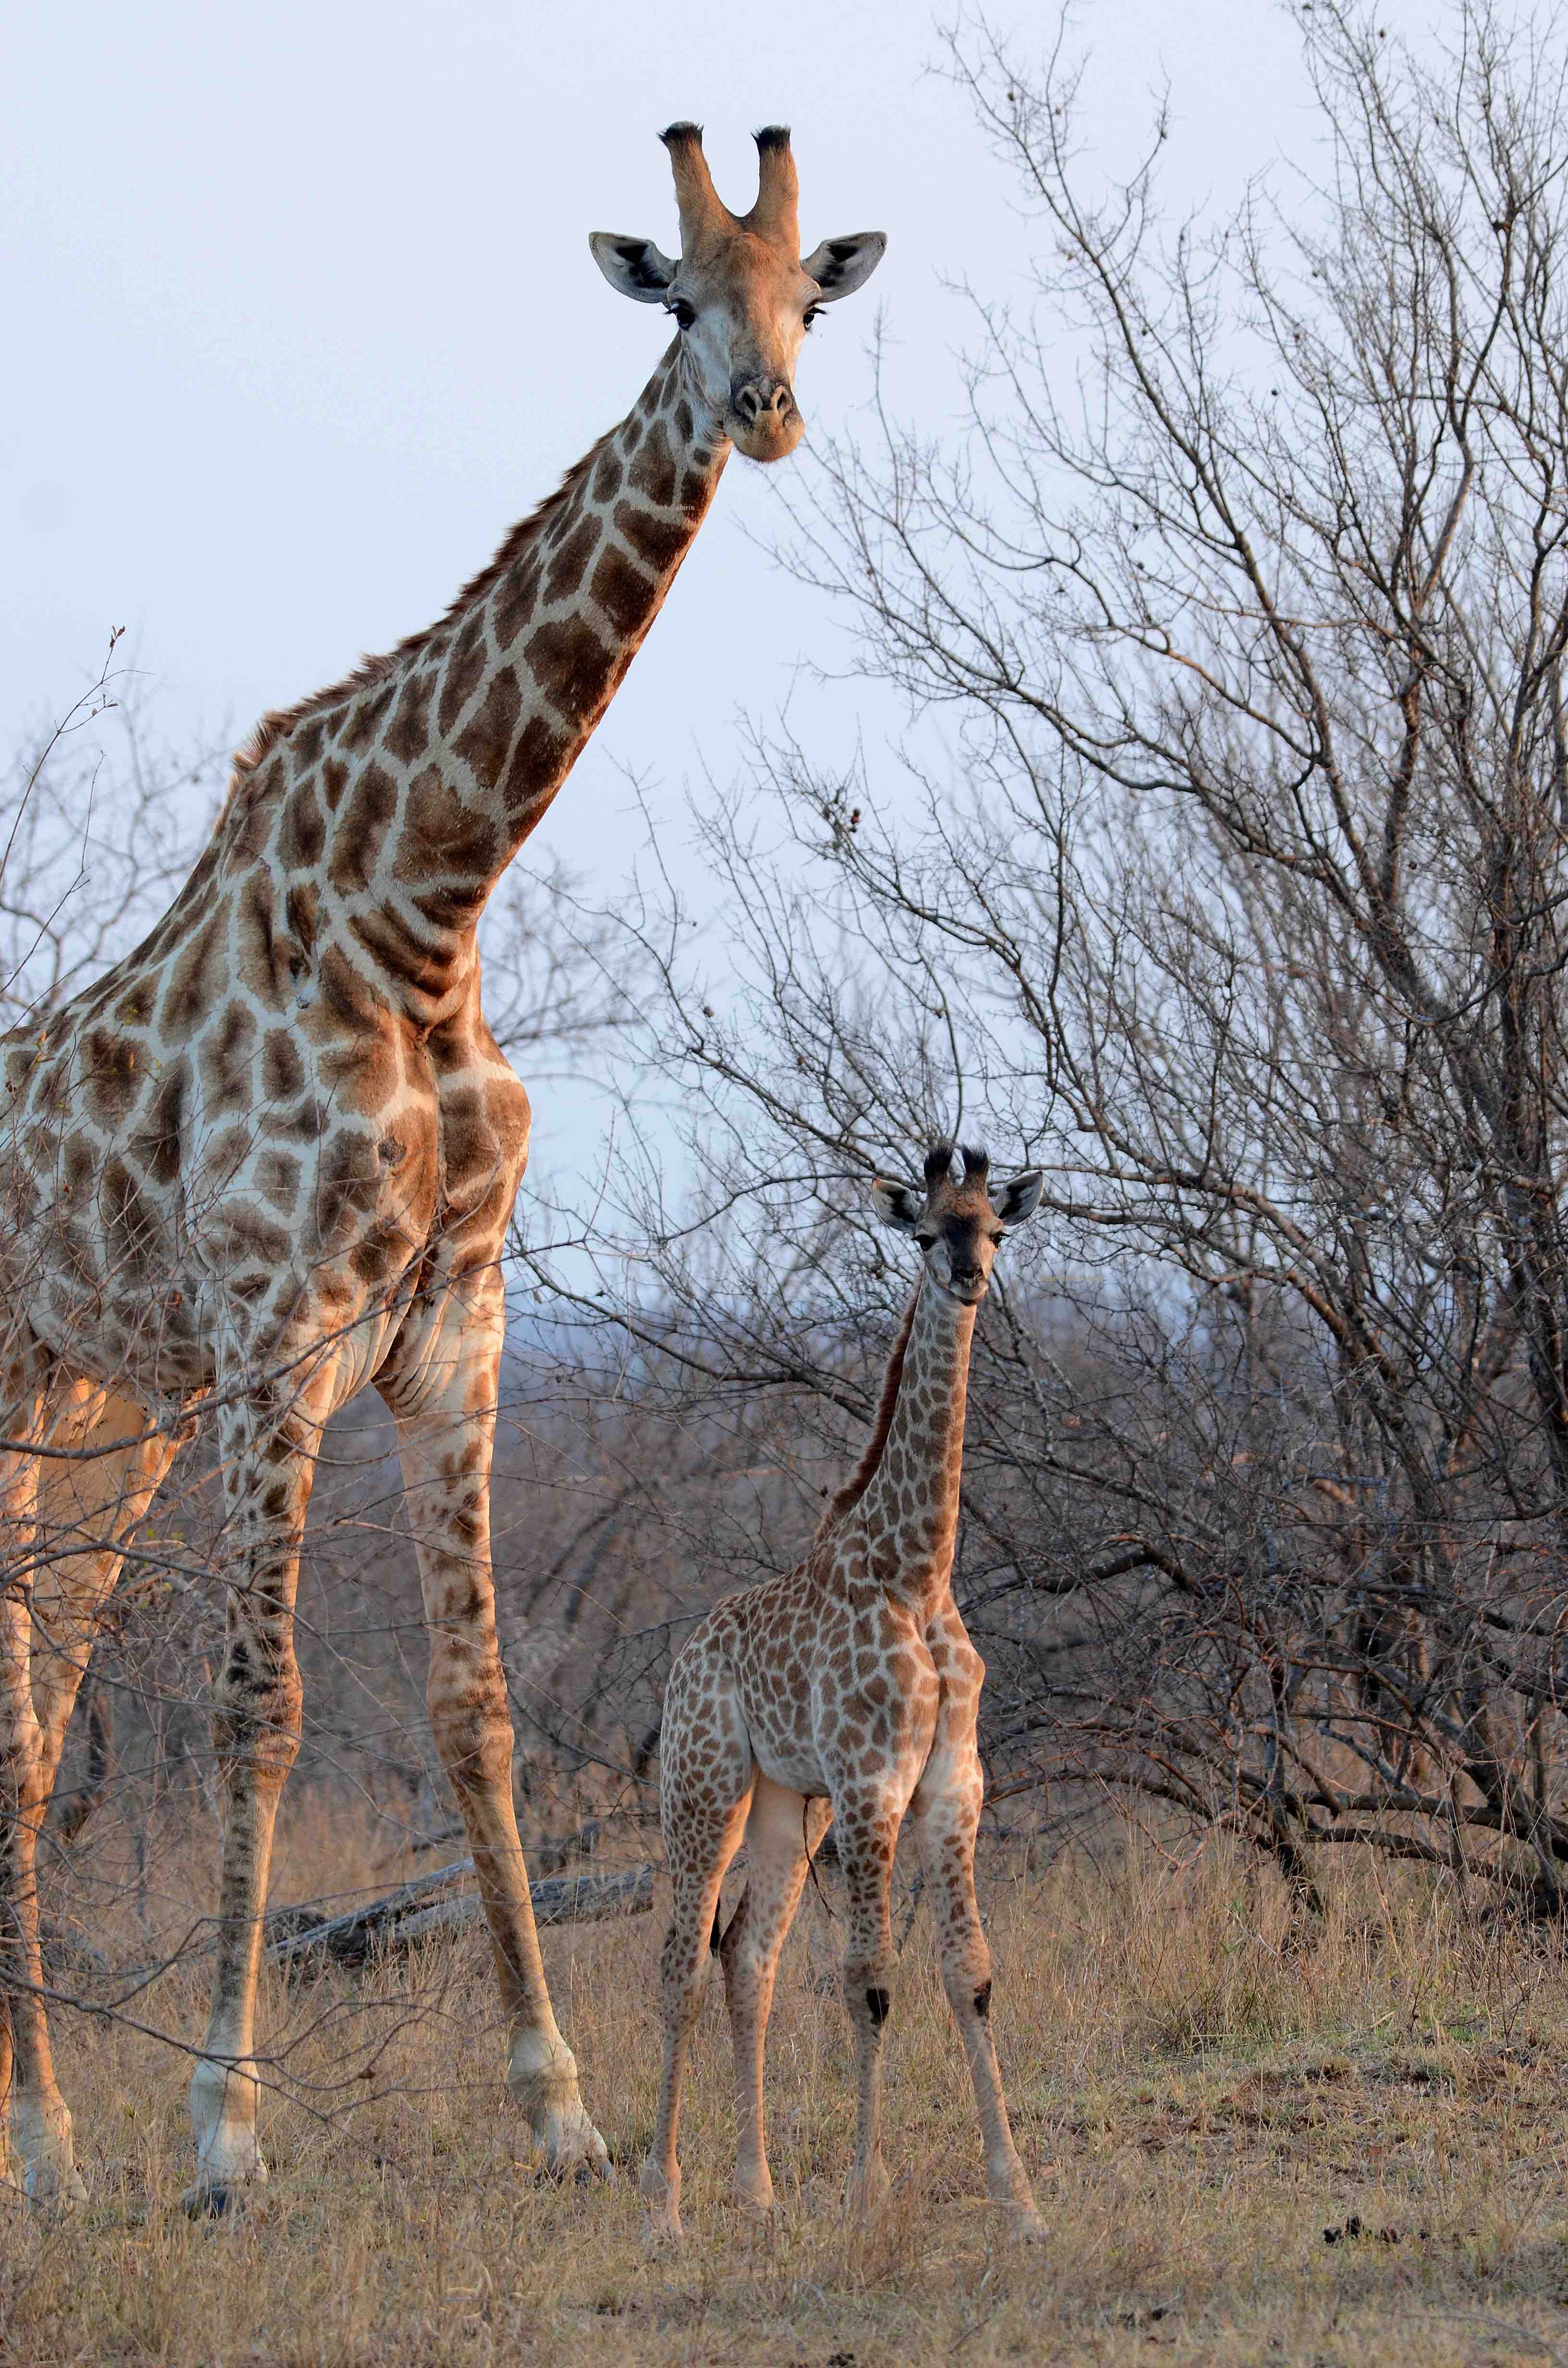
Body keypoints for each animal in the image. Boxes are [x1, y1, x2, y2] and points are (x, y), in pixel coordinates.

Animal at [0, 123, 885, 2211]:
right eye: (682, 296)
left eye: (810, 300)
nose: (769, 410)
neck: (423, 907)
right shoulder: (275, 1332)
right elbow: (262, 1710)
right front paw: (226, 2134)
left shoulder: (449, 1326)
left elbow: (477, 1710)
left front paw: (558, 2102)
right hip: (25, 1386)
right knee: (15, 1717)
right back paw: (62, 2144)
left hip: (103, 1411)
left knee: (38, 1715)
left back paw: (47, 2148)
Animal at [642, 1142, 1047, 2246]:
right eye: (927, 1230)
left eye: (995, 1227)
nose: (968, 1277)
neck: (919, 1568)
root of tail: (683, 1660)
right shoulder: (874, 1783)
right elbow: (869, 1981)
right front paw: (869, 2192)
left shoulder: (953, 1782)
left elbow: (973, 1973)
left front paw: (1018, 2196)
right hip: (705, 1789)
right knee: (679, 1962)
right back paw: (667, 2199)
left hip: (789, 1804)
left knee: (748, 1958)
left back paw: (756, 2188)